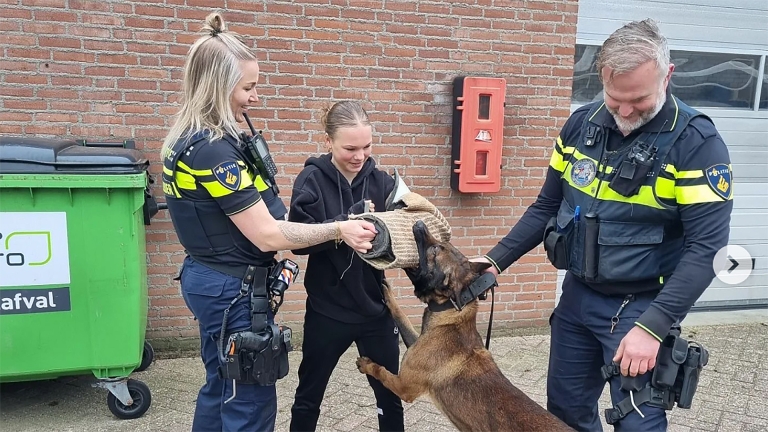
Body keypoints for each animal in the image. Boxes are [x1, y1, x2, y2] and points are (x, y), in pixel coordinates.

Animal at [356, 221, 572, 430]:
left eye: (435, 249)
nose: (419, 222)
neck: (450, 309)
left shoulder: (404, 386)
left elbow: (382, 372)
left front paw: (367, 365)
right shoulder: (415, 342)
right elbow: (402, 316)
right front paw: (388, 294)